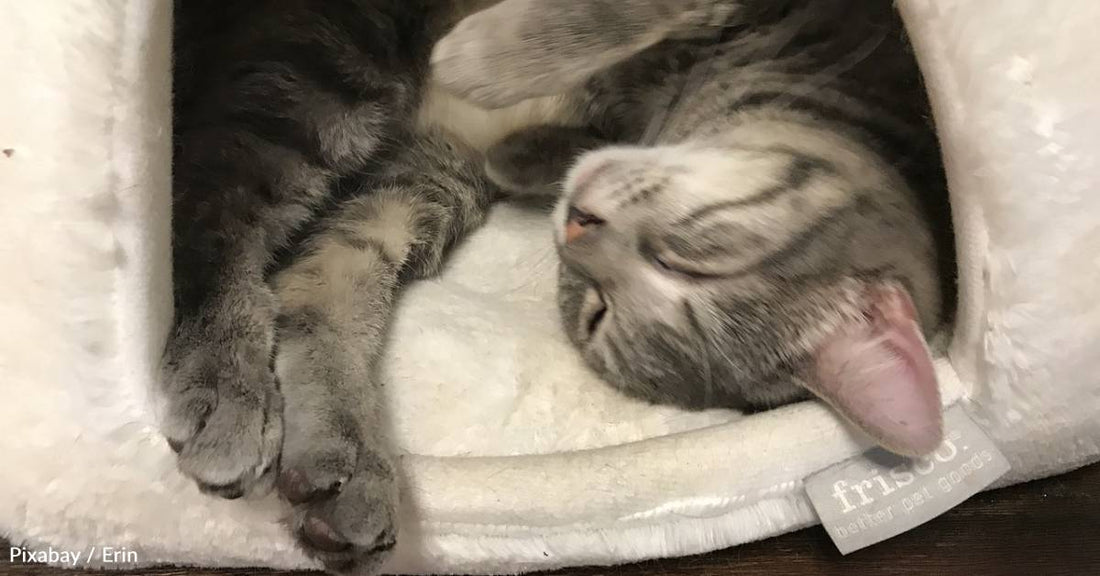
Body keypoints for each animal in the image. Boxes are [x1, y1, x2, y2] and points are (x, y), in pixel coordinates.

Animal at [167, 0, 950, 571]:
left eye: (596, 313)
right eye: (692, 260)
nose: (578, 221)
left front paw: (538, 138)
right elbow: (640, 10)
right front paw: (489, 54)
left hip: (420, 177)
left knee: (315, 280)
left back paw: (342, 455)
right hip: (327, 56)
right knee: (211, 196)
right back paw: (225, 374)